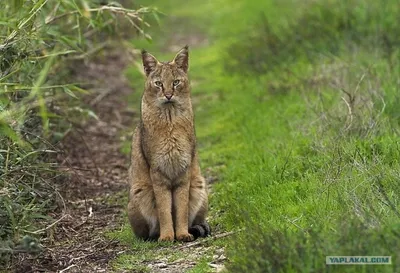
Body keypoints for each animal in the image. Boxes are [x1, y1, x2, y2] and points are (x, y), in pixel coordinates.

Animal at [127, 46, 209, 240]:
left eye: (176, 82)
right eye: (158, 83)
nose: (168, 95)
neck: (170, 120)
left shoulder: (183, 171)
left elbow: (181, 208)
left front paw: (182, 233)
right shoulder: (158, 172)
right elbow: (164, 209)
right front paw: (166, 236)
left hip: (199, 185)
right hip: (139, 192)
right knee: (145, 232)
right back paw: (155, 235)